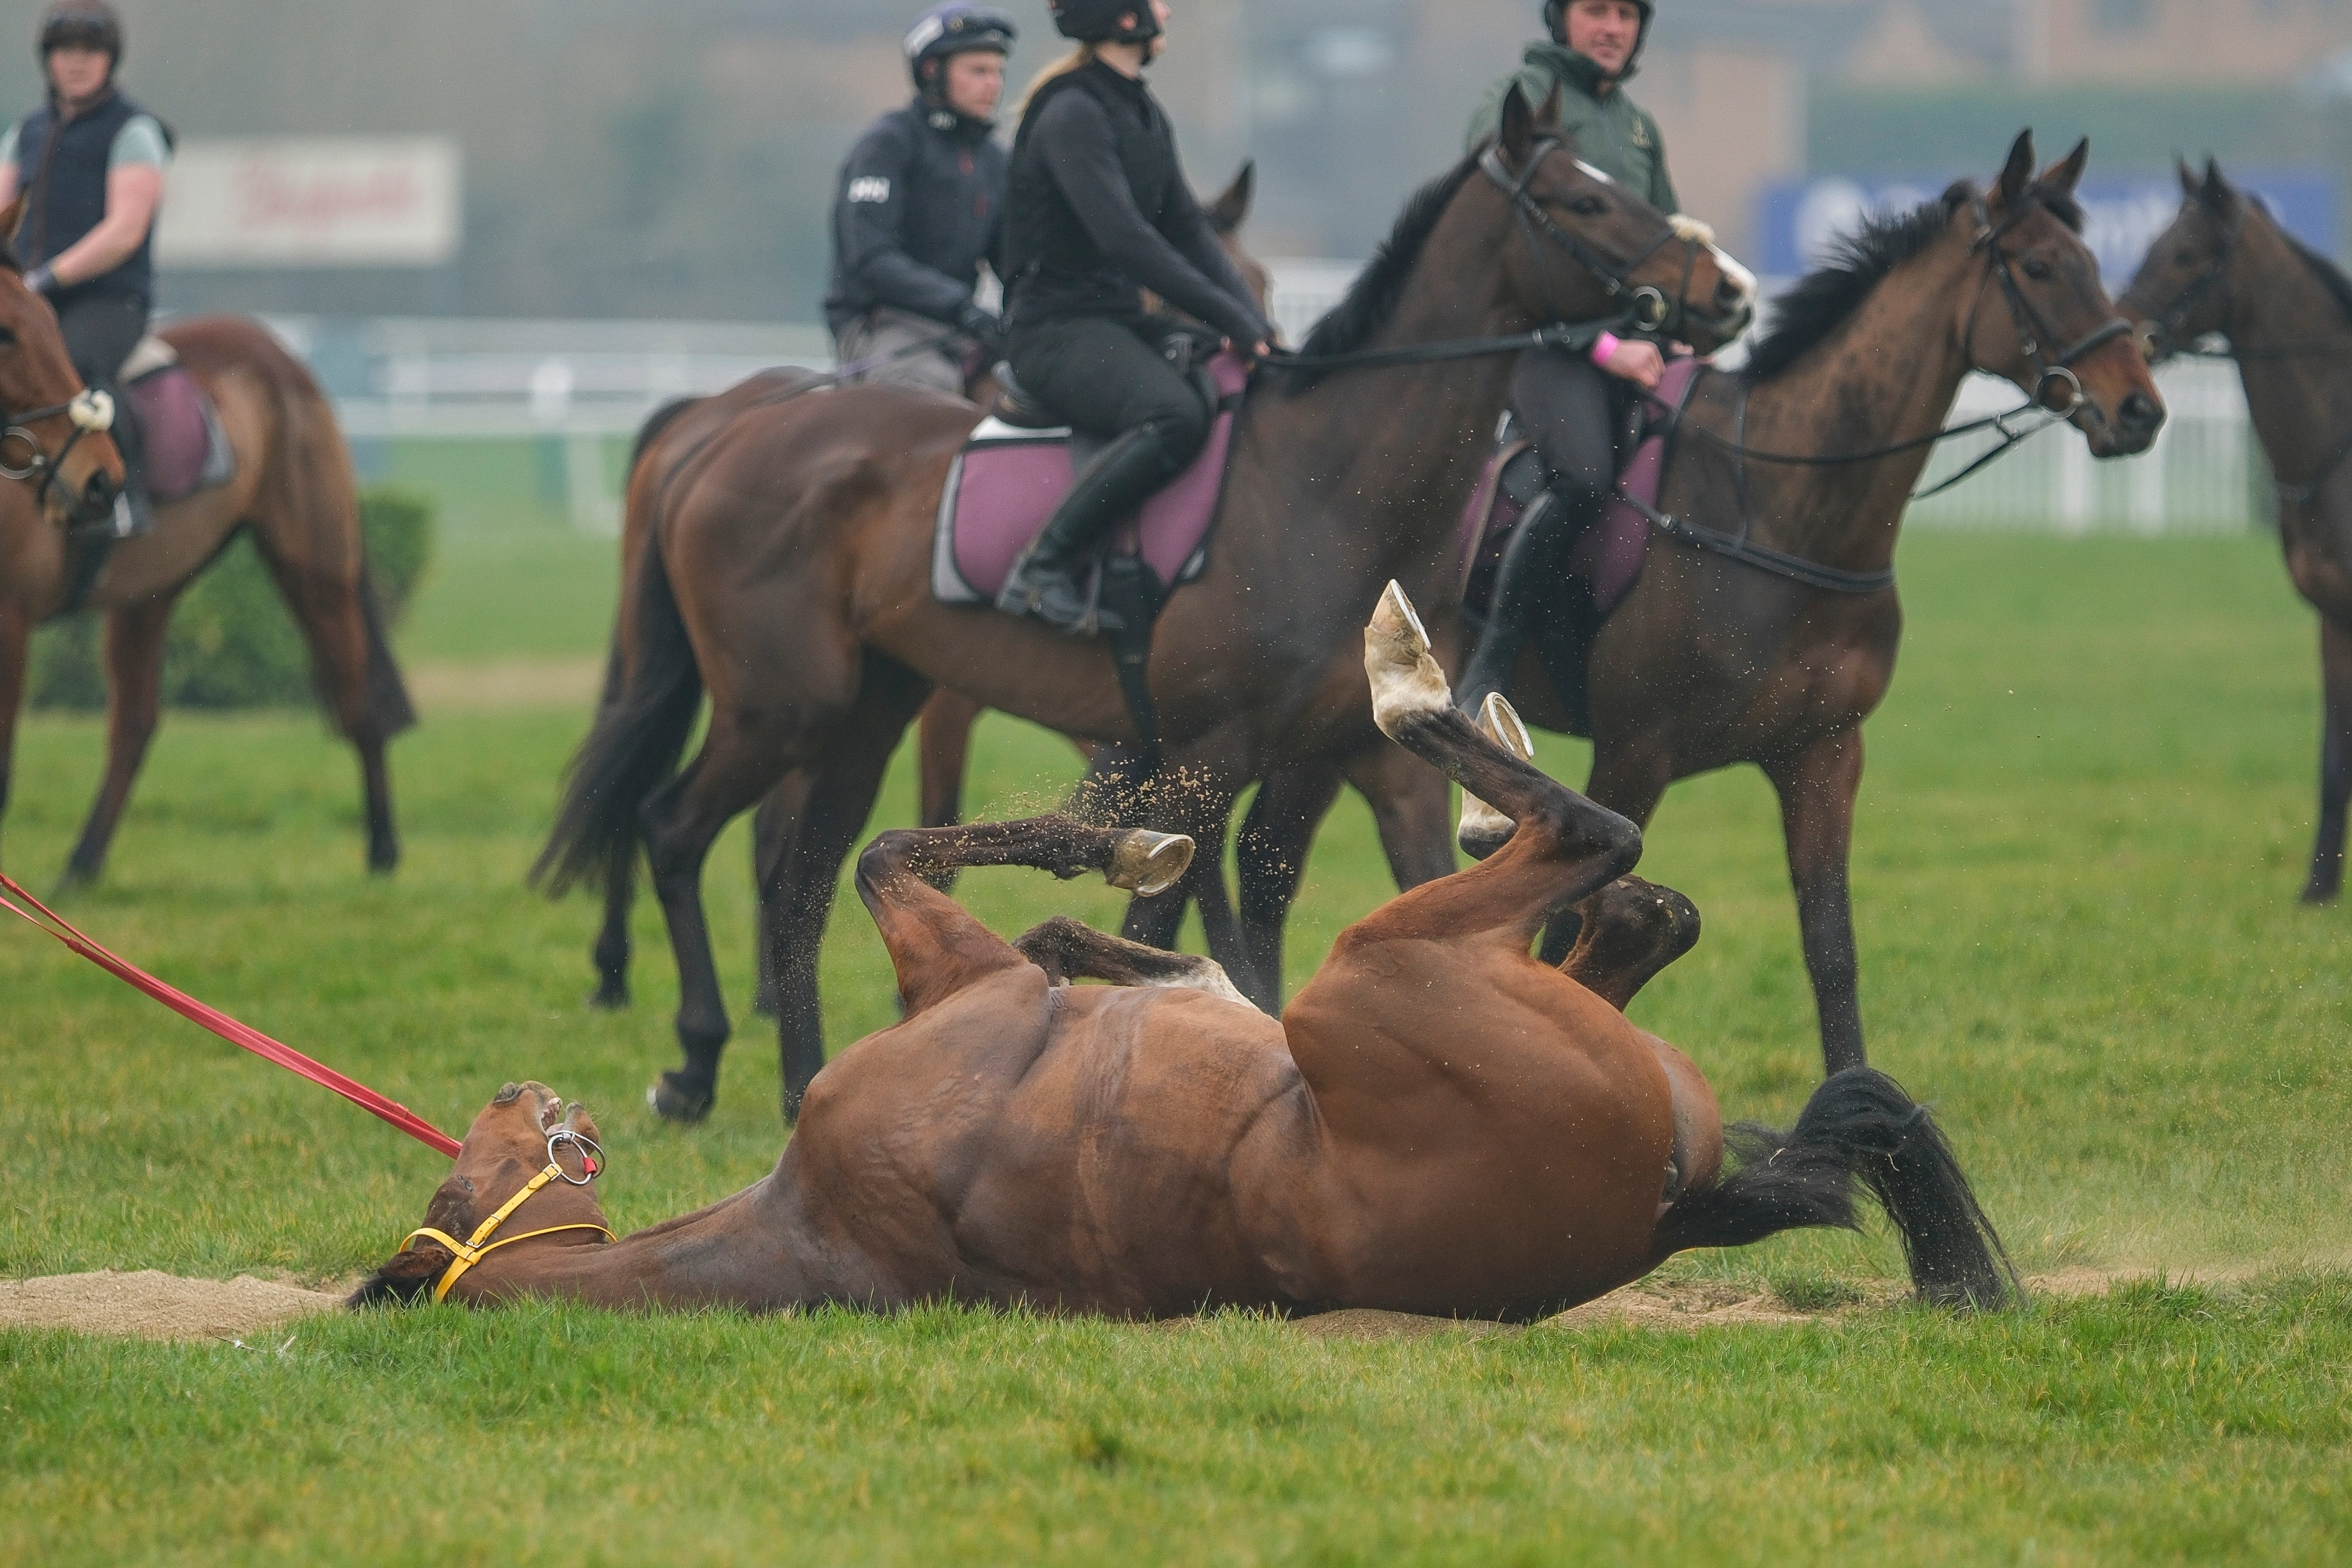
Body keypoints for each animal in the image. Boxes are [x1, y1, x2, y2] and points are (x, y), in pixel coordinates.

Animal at [0, 211, 412, 884]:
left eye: (42, 324)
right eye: (6, 333)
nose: (100, 480)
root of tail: (276, 352)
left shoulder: (12, 617)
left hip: (314, 565)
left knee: (359, 698)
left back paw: (382, 851)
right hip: (149, 595)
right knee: (135, 723)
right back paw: (83, 865)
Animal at [357, 588, 2013, 1326]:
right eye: (461, 1180)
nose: (515, 1091)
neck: (805, 1219)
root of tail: (1669, 1205)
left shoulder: (974, 973)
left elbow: (953, 874)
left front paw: (1137, 884)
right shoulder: (976, 994)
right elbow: (910, 865)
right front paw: (1134, 853)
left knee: (1636, 912)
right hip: (1380, 970)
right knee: (1604, 853)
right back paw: (1417, 691)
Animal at [534, 86, 1750, 1124]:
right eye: (1584, 199)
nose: (1729, 290)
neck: (1325, 483)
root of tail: (735, 424)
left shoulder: (1331, 758)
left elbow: (1311, 896)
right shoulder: (1208, 749)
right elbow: (1169, 906)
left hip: (868, 709)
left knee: (797, 878)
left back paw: (802, 1083)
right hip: (782, 706)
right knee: (674, 829)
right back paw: (696, 1061)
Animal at [1232, 132, 2164, 1081]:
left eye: (2095, 263)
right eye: (2042, 267)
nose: (2138, 408)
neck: (1779, 509)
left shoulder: (1824, 755)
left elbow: (1831, 947)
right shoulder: (1636, 753)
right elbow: (1568, 916)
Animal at [2126, 157, 2352, 902]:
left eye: (2186, 254)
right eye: (2155, 244)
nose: (2124, 330)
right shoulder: (2332, 618)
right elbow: (2334, 755)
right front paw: (2318, 889)